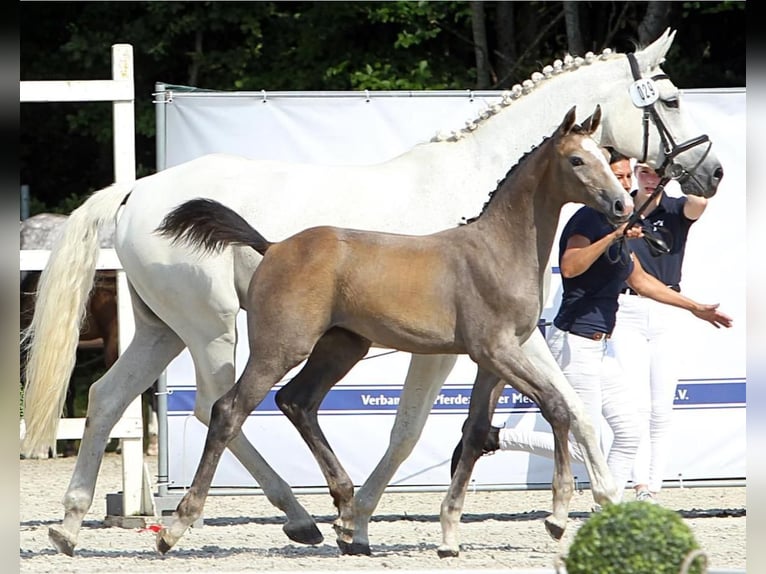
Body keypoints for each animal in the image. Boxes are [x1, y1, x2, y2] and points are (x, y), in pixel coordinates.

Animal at [152, 106, 636, 556]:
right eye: (577, 159)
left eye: (605, 155)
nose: (623, 206)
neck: (498, 250)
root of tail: (272, 247)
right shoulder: (496, 350)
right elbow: (556, 407)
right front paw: (557, 516)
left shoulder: (493, 361)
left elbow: (477, 433)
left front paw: (449, 534)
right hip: (280, 348)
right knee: (228, 410)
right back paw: (177, 527)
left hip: (342, 347)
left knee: (297, 401)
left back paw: (346, 516)